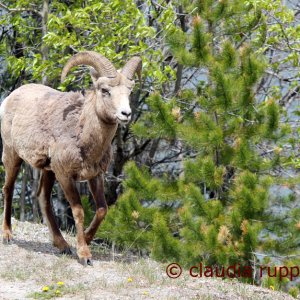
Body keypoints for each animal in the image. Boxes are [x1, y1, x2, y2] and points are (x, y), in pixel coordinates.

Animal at [0, 51, 142, 264]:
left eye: (129, 91)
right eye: (105, 90)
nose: (126, 114)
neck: (82, 135)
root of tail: (9, 99)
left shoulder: (95, 176)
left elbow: (102, 209)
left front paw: (87, 240)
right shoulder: (65, 176)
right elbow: (78, 211)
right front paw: (84, 255)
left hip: (47, 170)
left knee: (43, 198)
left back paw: (62, 245)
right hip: (13, 155)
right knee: (8, 189)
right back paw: (7, 235)